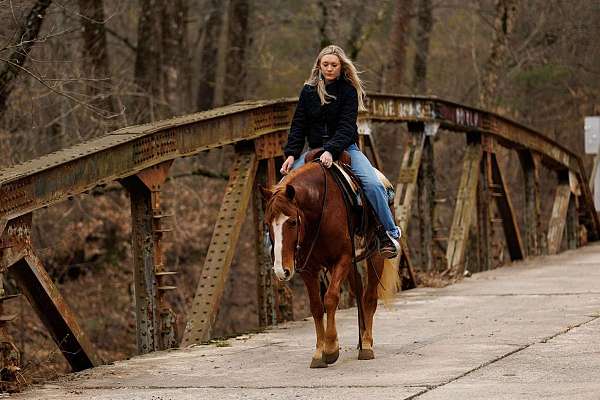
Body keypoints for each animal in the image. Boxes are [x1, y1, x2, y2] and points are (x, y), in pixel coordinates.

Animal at [262, 159, 398, 368]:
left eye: (292, 222)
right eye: (267, 224)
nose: (280, 270)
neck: (319, 208)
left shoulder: (341, 259)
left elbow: (331, 298)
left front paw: (331, 347)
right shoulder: (309, 268)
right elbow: (317, 307)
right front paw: (319, 352)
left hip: (375, 256)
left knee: (369, 297)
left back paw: (366, 344)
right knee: (358, 290)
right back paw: (361, 339)